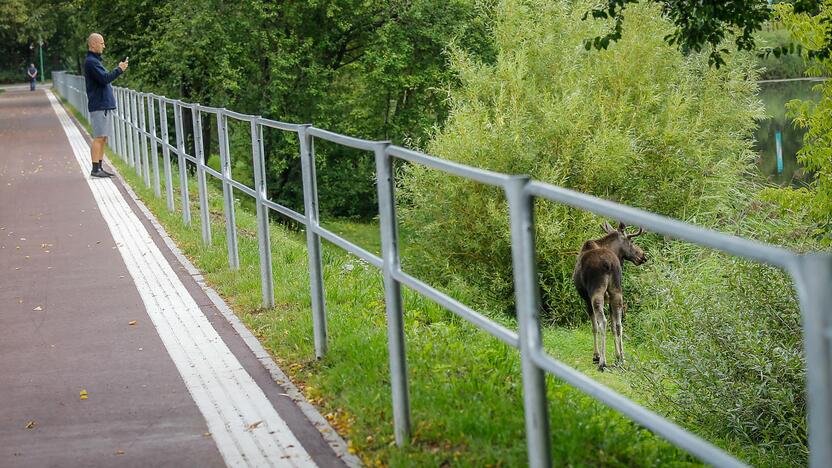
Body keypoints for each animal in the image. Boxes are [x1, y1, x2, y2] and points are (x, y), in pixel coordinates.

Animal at [572, 221, 648, 372]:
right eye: (632, 241)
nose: (643, 256)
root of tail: (609, 264)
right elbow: (614, 326)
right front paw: (618, 356)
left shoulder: (586, 299)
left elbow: (594, 326)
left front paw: (596, 356)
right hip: (617, 292)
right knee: (619, 324)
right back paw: (621, 359)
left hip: (596, 293)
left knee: (602, 322)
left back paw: (602, 362)